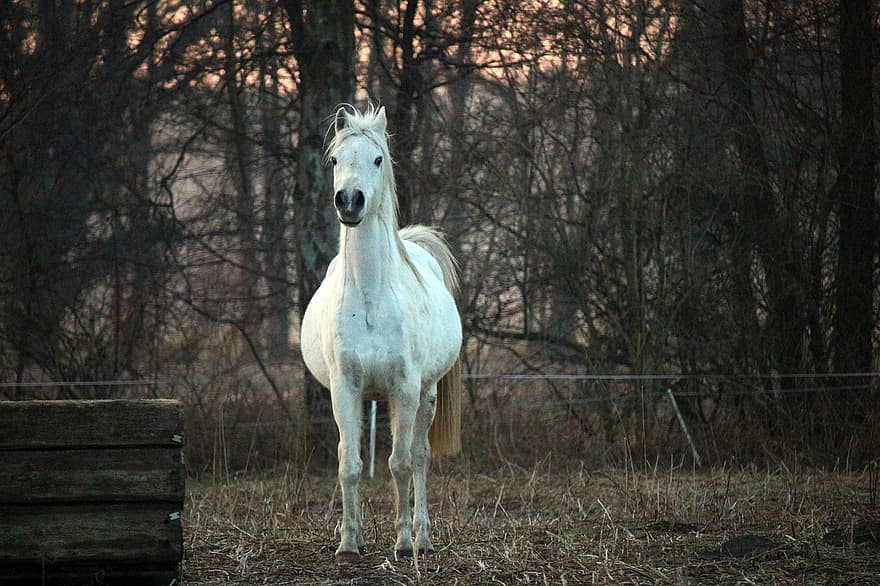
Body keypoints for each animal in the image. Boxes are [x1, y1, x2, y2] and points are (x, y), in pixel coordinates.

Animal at [300, 104, 464, 560]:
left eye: (377, 159)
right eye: (335, 160)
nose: (349, 200)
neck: (372, 295)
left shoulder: (404, 389)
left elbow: (401, 463)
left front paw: (404, 543)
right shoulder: (345, 389)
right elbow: (350, 465)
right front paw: (348, 542)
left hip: (426, 395)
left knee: (421, 457)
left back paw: (423, 538)